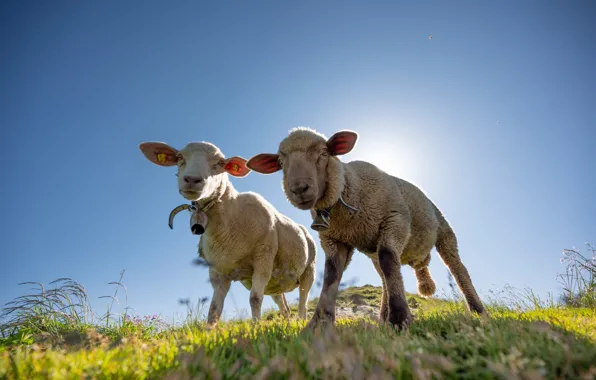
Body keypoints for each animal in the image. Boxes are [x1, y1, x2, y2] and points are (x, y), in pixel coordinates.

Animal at [139, 141, 316, 326]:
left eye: (220, 163)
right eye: (180, 157)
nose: (192, 179)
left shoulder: (263, 258)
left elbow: (254, 299)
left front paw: (256, 328)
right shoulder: (217, 272)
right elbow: (214, 309)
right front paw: (210, 331)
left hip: (308, 270)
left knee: (303, 300)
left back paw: (303, 322)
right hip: (276, 281)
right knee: (284, 306)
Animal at [247, 127, 484, 330]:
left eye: (324, 152)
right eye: (280, 161)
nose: (298, 189)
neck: (349, 189)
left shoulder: (395, 220)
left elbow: (389, 260)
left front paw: (400, 319)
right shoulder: (333, 239)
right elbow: (332, 274)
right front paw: (319, 324)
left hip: (443, 230)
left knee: (457, 268)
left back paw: (478, 310)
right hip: (373, 250)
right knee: (385, 278)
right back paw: (382, 317)